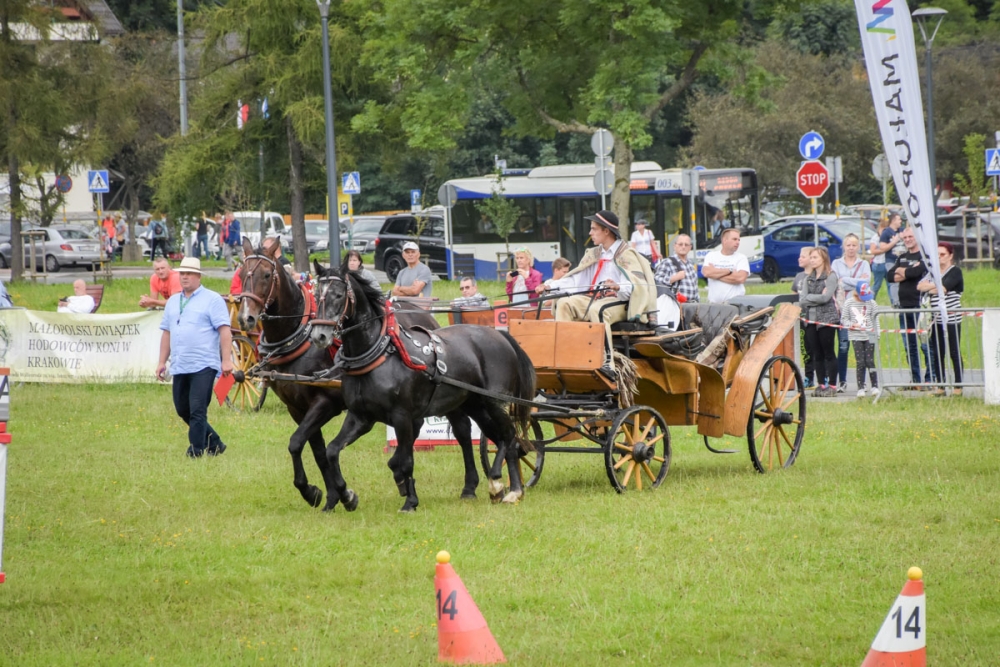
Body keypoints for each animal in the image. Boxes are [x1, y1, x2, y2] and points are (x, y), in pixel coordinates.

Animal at [236, 240, 482, 512]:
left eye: (267, 275)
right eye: (241, 274)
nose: (246, 317)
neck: (297, 336)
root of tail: (426, 314)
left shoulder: (325, 404)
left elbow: (298, 442)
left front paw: (320, 493)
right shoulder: (297, 408)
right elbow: (314, 450)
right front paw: (330, 497)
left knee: (461, 429)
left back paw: (468, 485)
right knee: (416, 426)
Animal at [310, 264, 540, 516]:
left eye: (339, 295)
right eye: (316, 296)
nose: (319, 335)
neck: (379, 354)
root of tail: (500, 335)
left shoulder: (402, 416)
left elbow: (406, 460)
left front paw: (410, 501)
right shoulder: (361, 417)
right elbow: (333, 451)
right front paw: (347, 496)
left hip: (496, 402)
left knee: (508, 436)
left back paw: (508, 487)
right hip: (475, 405)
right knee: (497, 437)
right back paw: (502, 488)